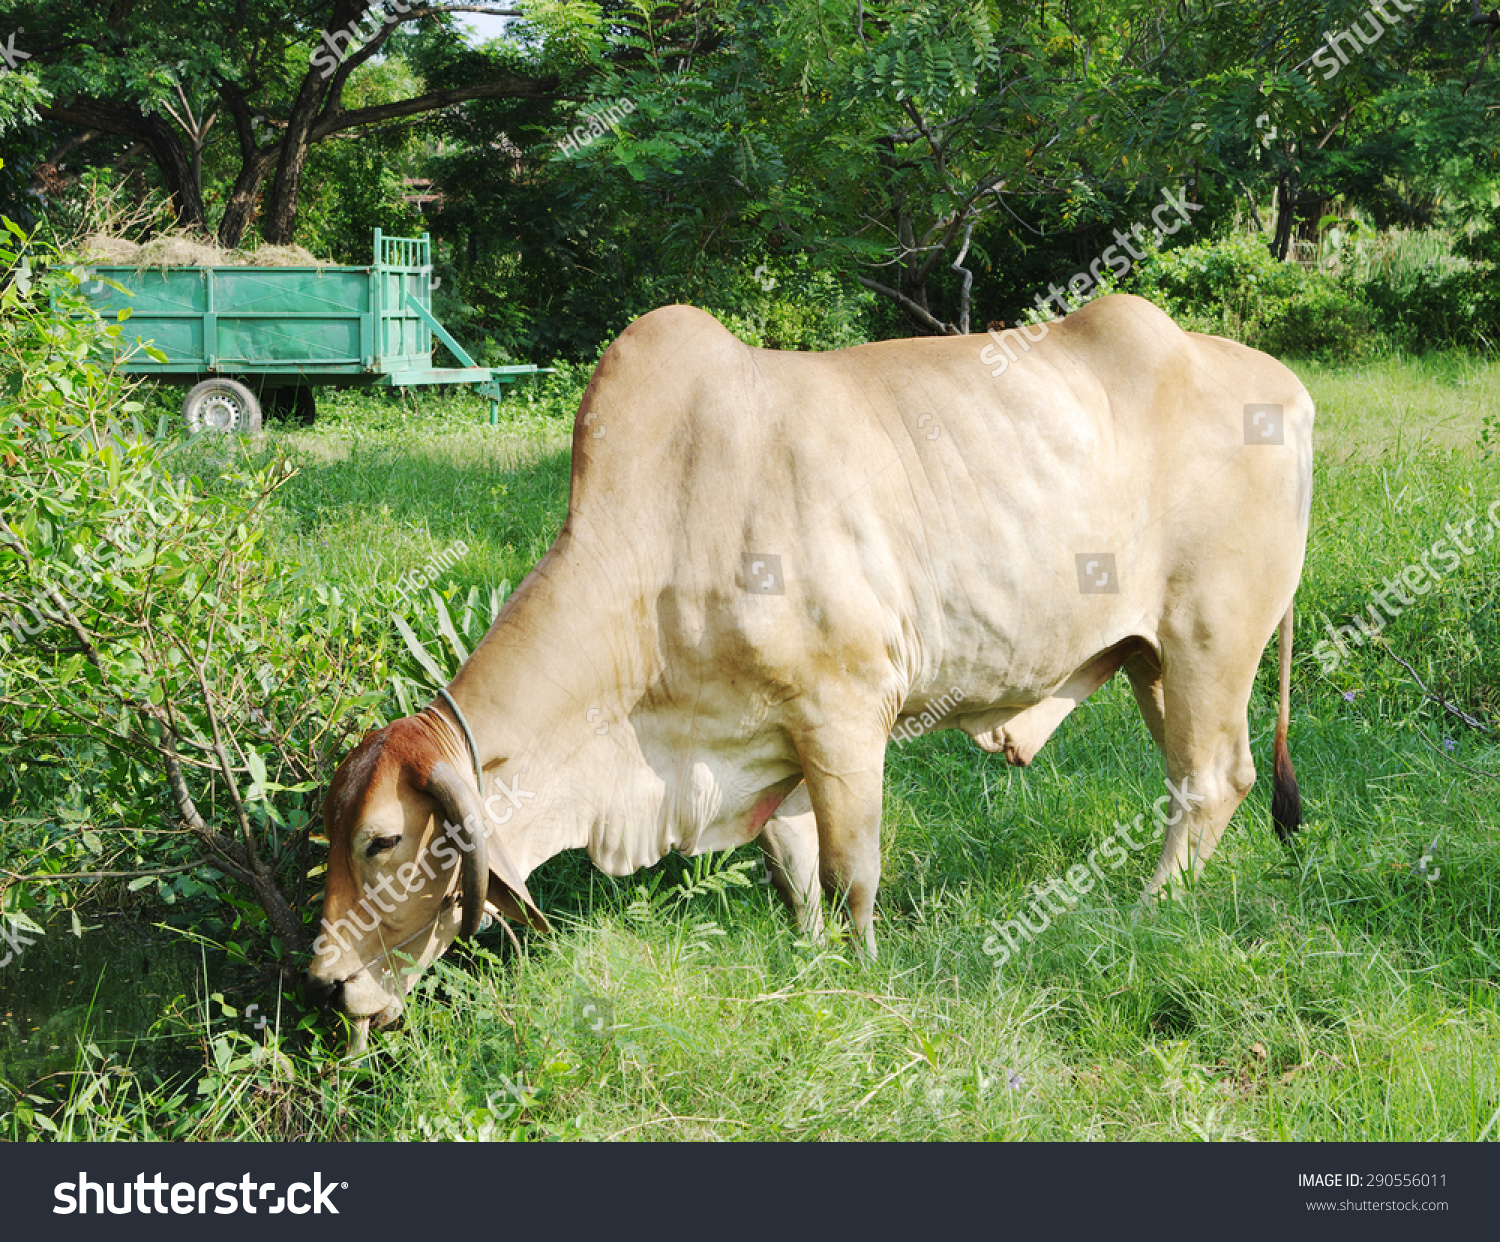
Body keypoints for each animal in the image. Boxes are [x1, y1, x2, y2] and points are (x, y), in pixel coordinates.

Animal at [307, 295, 1314, 1032]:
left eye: (382, 839)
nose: (326, 981)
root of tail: (1284, 387)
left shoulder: (846, 715)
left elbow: (850, 870)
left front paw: (865, 973)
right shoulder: (771, 737)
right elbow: (796, 873)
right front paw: (812, 961)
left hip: (1210, 640)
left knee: (1212, 779)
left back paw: (1148, 910)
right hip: (1151, 658)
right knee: (1201, 778)